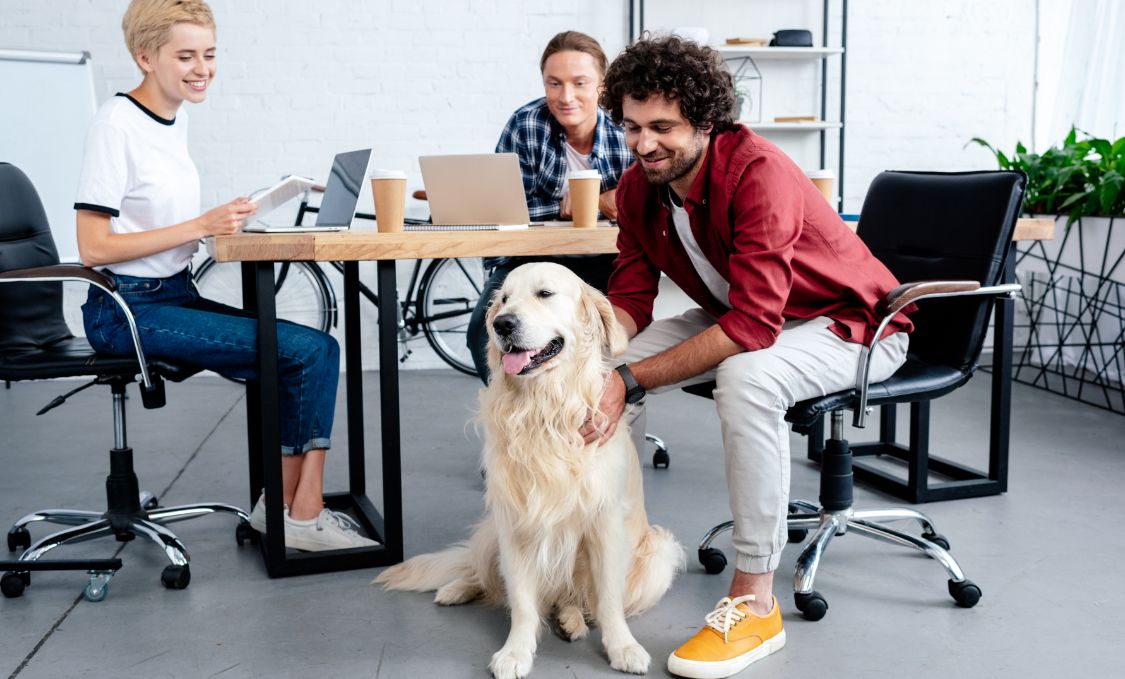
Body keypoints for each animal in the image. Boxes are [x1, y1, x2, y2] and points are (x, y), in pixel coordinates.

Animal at [375, 263, 684, 674]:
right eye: (504, 298)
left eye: (545, 294)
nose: (502, 324)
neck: (544, 407)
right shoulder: (515, 523)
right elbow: (521, 601)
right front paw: (515, 652)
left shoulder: (604, 524)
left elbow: (607, 600)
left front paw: (623, 647)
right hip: (491, 531)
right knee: (481, 571)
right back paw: (456, 588)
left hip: (659, 554)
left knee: (575, 599)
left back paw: (571, 619)